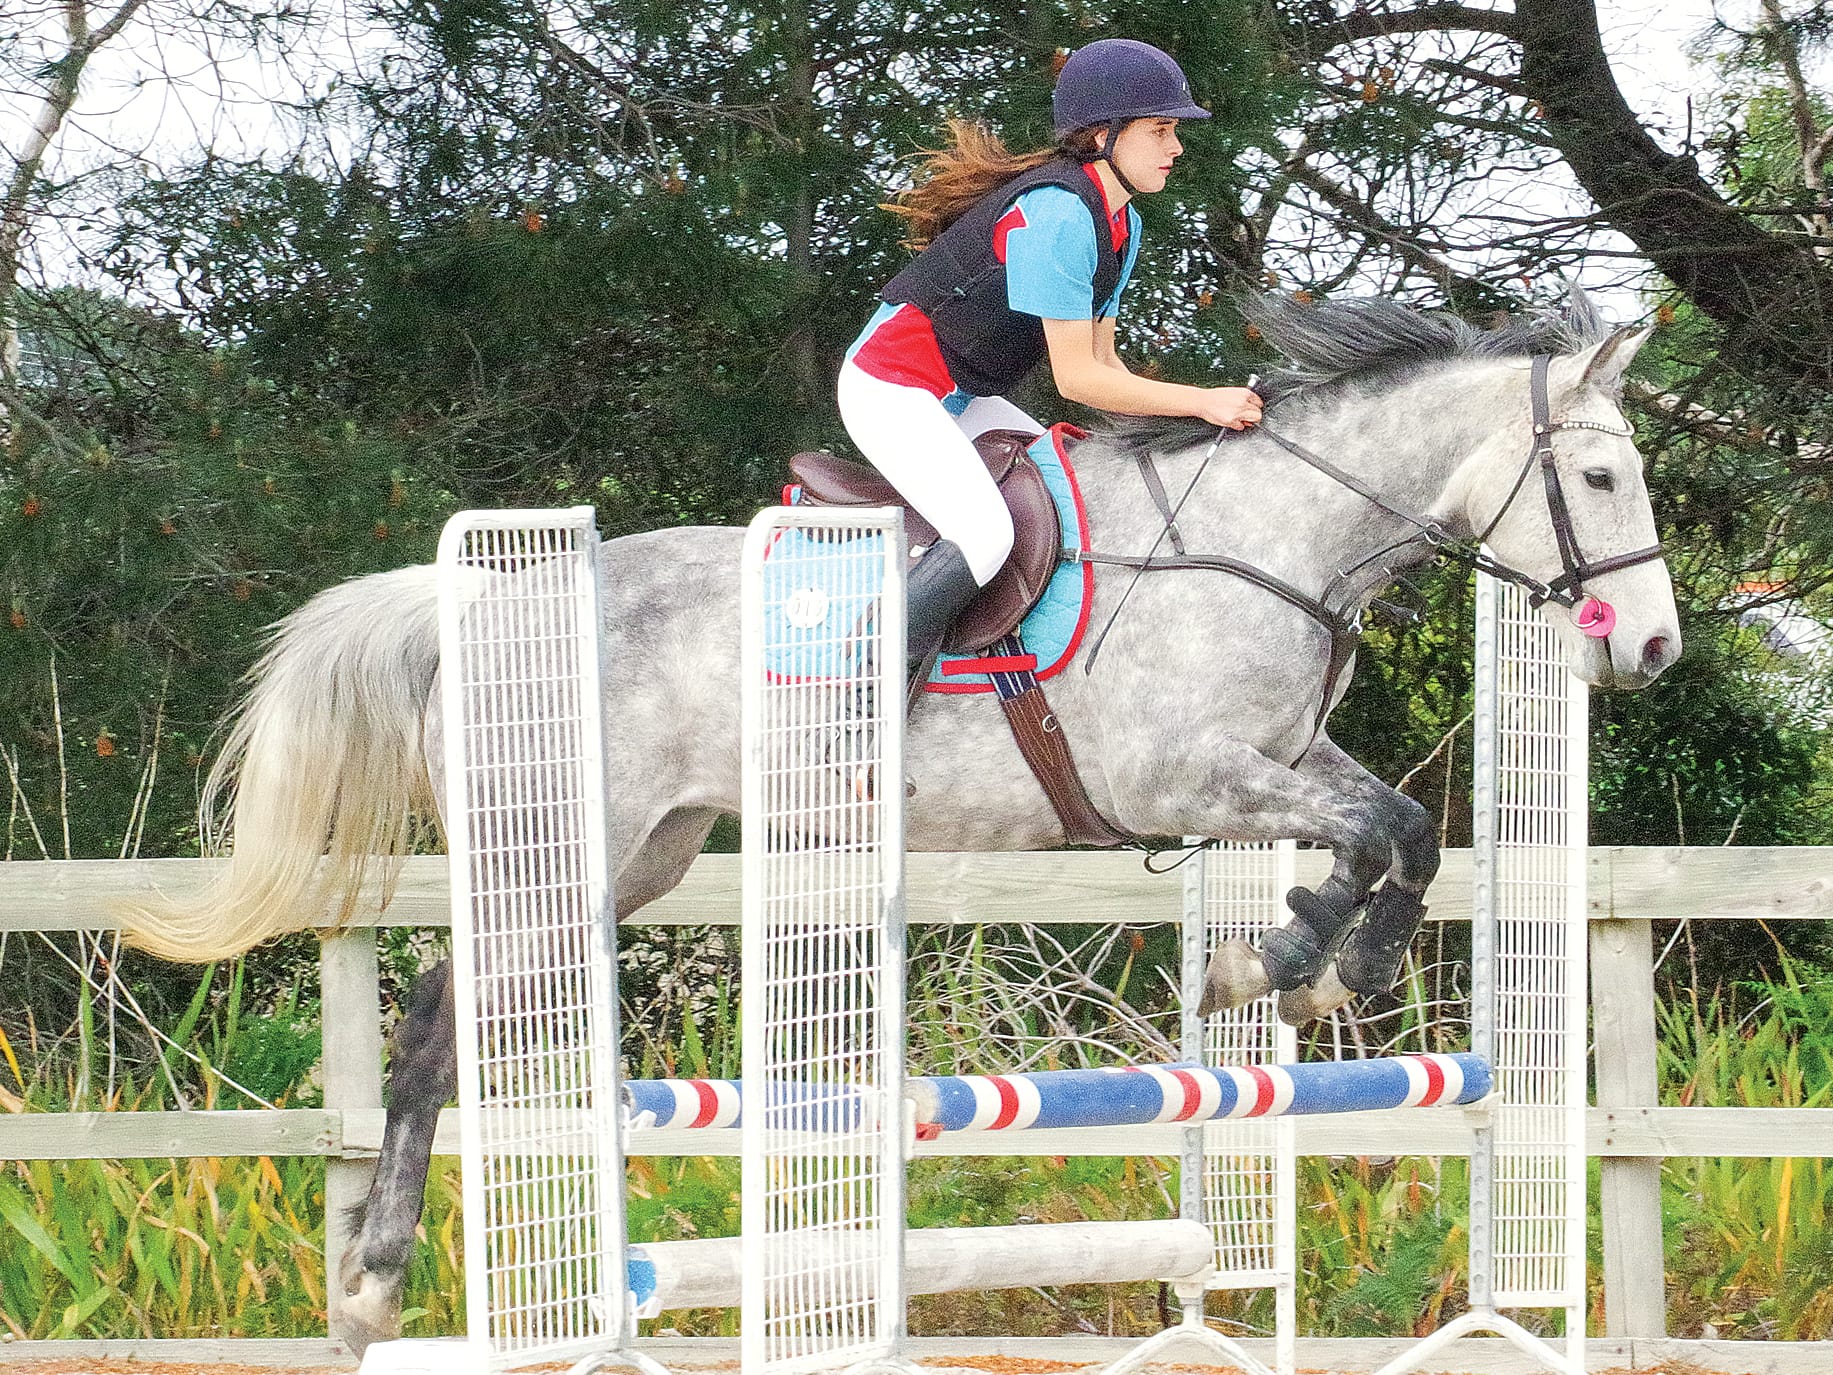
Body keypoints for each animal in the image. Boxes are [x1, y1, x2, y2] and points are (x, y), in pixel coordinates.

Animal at [117, 291, 1681, 1350]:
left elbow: (1393, 828)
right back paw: (386, 1285)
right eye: (1601, 476)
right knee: (445, 1019)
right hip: (555, 852)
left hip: (641, 856)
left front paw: (1297, 962)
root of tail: (480, 601)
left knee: (449, 1018)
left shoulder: (1279, 758)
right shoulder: (1185, 775)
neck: (1276, 535)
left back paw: (376, 1290)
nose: (1654, 650)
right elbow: (1382, 831)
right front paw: (1295, 964)